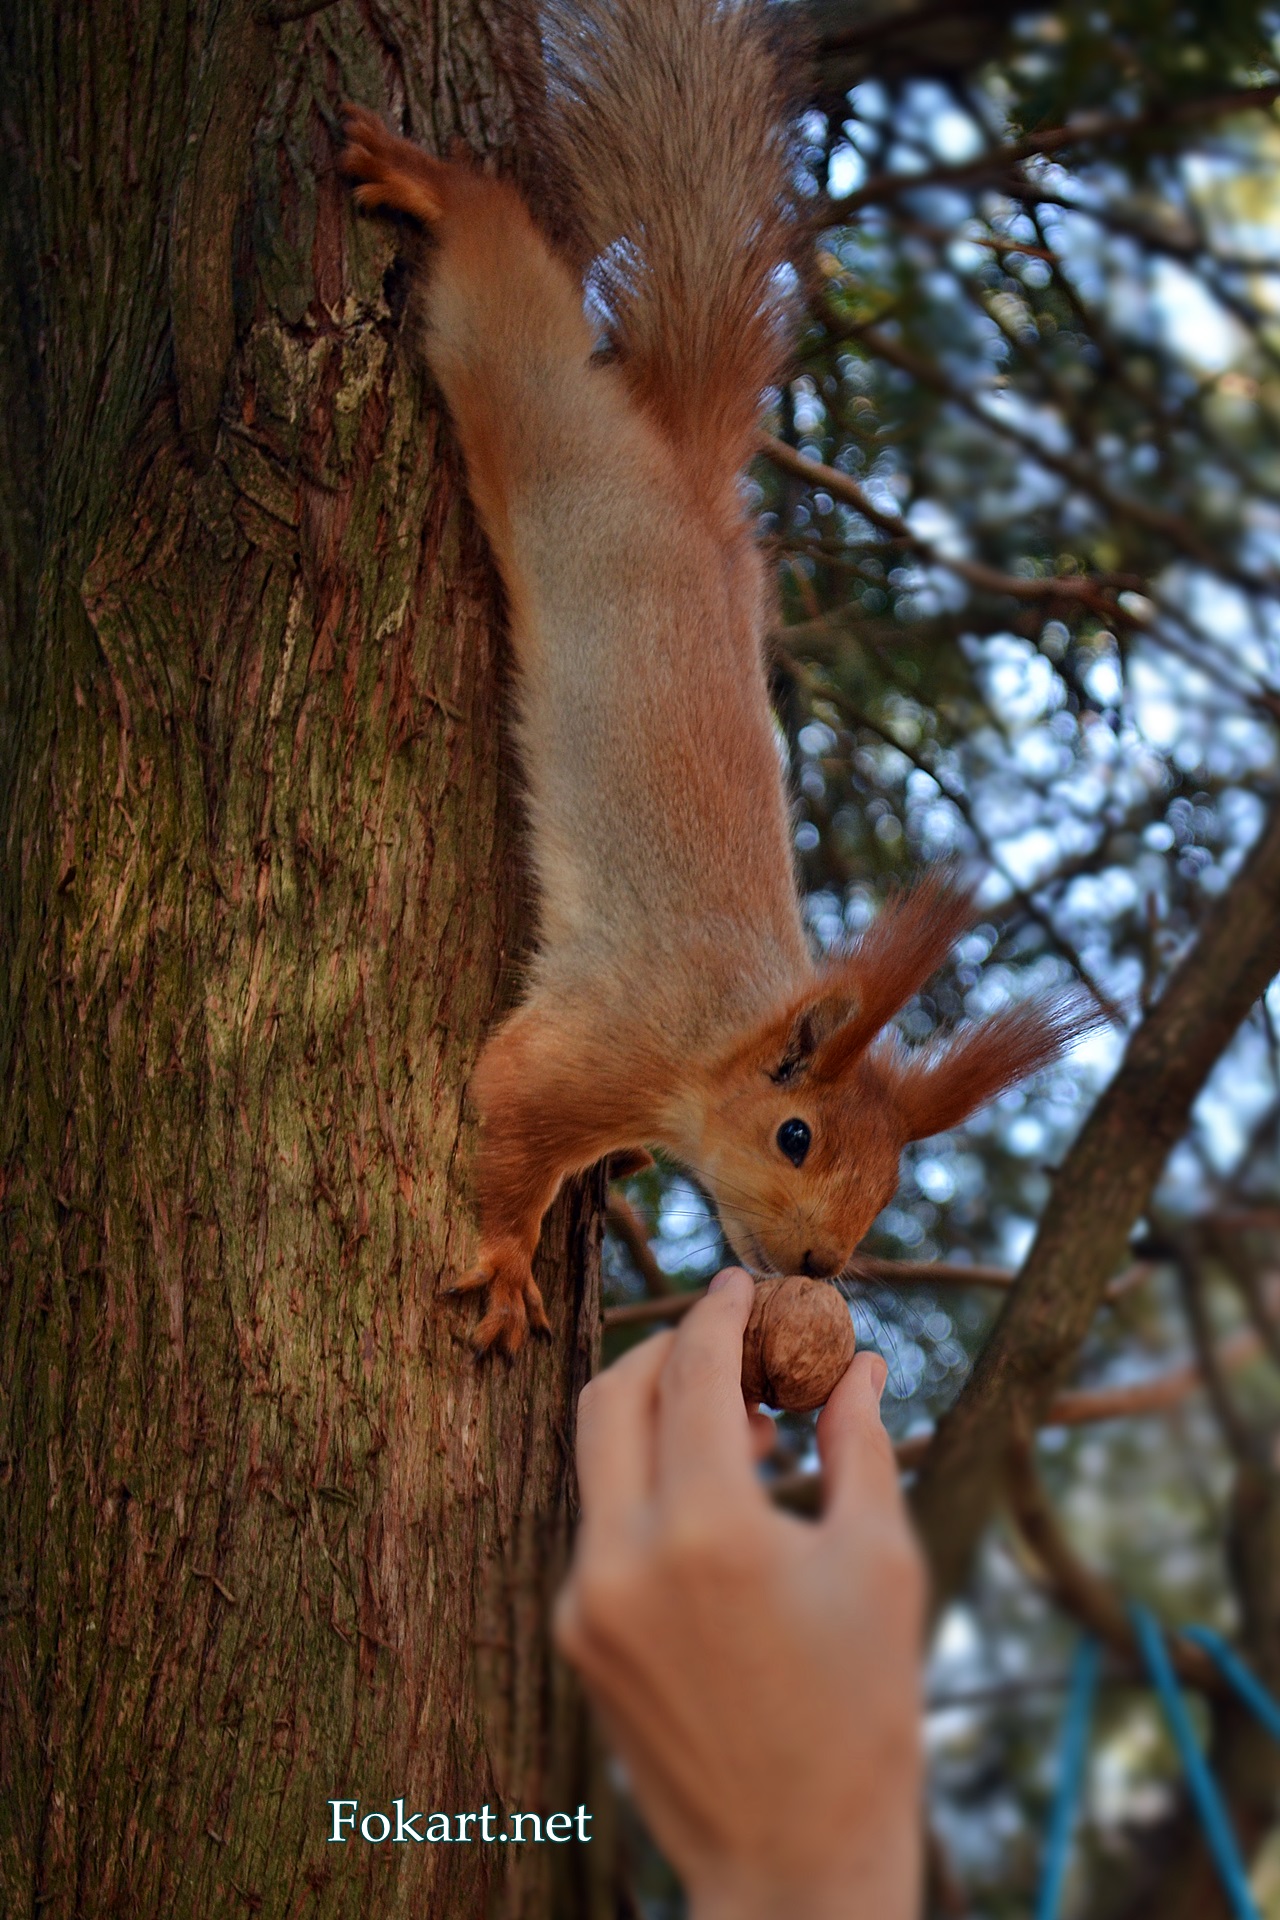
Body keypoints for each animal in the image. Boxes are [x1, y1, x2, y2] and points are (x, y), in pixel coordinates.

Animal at [340, 0, 1088, 1356]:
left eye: (887, 1178)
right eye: (793, 1137)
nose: (823, 1265)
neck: (717, 1041)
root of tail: (683, 471)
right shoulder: (601, 1041)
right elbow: (507, 1112)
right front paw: (508, 1258)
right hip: (534, 404)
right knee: (498, 281)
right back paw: (428, 182)